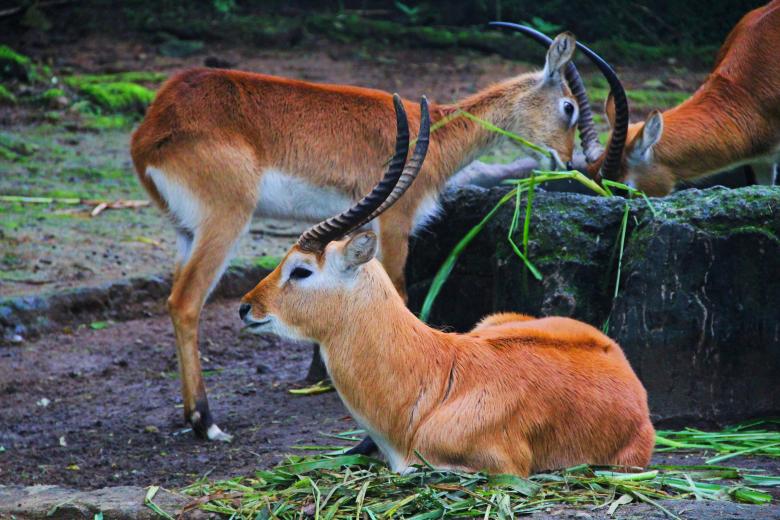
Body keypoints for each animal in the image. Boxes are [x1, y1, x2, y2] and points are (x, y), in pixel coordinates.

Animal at [130, 27, 628, 441]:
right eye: (569, 107)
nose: (572, 162)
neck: (437, 132)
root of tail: (150, 130)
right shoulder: (395, 223)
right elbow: (402, 294)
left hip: (186, 231)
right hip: (226, 221)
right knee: (185, 301)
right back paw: (207, 423)